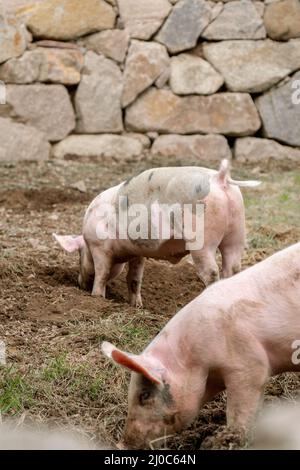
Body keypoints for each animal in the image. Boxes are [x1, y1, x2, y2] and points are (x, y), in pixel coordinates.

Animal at [54, 161, 260, 308]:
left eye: (79, 254)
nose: (79, 283)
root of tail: (220, 178)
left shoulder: (100, 247)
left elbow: (102, 274)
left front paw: (97, 298)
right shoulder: (137, 252)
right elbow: (134, 279)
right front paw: (137, 307)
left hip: (202, 238)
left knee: (210, 272)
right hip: (237, 231)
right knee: (233, 268)